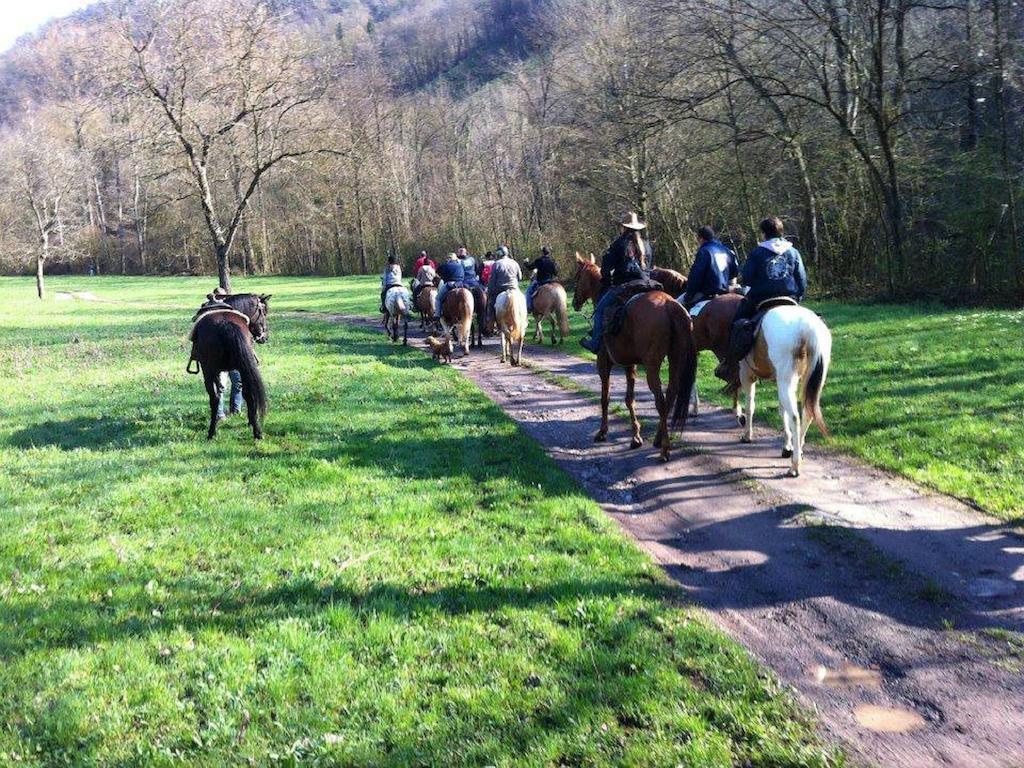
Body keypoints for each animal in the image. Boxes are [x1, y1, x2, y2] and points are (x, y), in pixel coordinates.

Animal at [187, 292, 270, 442]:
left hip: (209, 371)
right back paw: (257, 432)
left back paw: (211, 432)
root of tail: (226, 324)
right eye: (264, 312)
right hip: (240, 368)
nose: (264, 337)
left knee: (214, 398)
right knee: (248, 394)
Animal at [573, 256, 700, 466]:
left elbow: (605, 398)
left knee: (660, 401)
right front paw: (636, 437)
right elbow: (629, 399)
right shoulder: (629, 364)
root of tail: (669, 305)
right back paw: (658, 439)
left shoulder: (603, 362)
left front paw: (602, 432)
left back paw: (665, 450)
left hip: (652, 366)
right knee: (671, 394)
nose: (574, 301)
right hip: (675, 358)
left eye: (578, 277)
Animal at [729, 303, 831, 475]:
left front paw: (747, 435)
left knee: (795, 417)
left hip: (785, 381)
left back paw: (794, 466)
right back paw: (798, 451)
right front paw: (787, 446)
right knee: (807, 412)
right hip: (806, 381)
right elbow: (781, 411)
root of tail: (807, 326)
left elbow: (750, 406)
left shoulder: (746, 375)